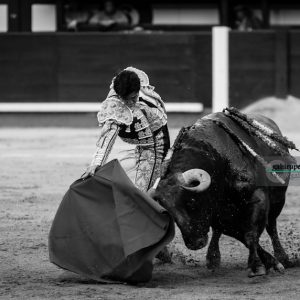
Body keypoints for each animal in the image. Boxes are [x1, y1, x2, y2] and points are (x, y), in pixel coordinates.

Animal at [150, 109, 296, 278]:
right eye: (169, 211)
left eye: (191, 202)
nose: (194, 243)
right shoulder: (220, 216)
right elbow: (243, 236)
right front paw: (267, 262)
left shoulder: (258, 199)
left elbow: (251, 234)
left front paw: (260, 265)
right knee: (218, 232)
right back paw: (213, 258)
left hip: (278, 200)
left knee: (271, 227)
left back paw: (283, 258)